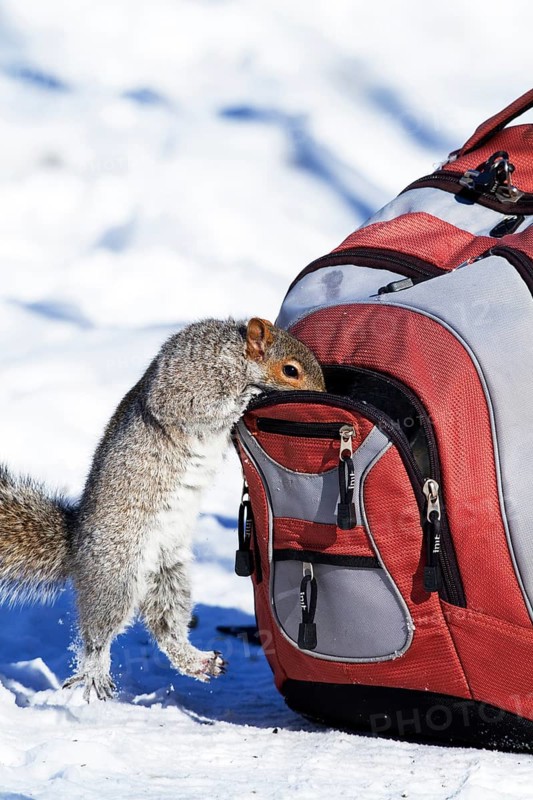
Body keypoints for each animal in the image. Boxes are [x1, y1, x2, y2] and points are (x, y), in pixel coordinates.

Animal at [0, 317, 325, 701]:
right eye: (291, 370)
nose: (323, 397)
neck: (234, 356)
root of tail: (75, 544)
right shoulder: (185, 383)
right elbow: (198, 406)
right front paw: (249, 396)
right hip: (117, 573)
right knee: (97, 632)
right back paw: (95, 673)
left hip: (168, 574)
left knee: (166, 626)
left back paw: (198, 661)